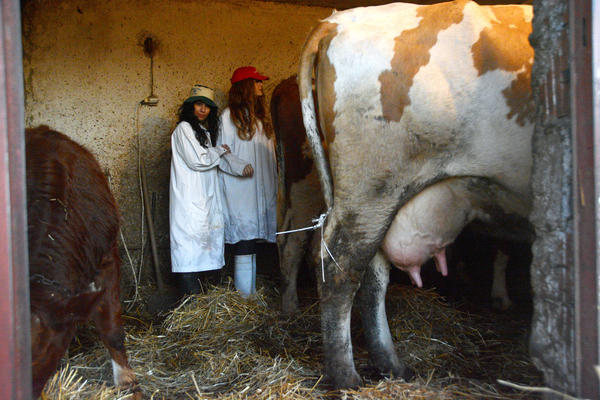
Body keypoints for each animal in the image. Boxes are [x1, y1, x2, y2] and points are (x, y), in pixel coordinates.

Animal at [298, 0, 532, 388]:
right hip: (370, 187)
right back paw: (346, 376)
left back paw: (392, 365)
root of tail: (337, 20)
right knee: (340, 267)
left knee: (373, 274)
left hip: (380, 200)